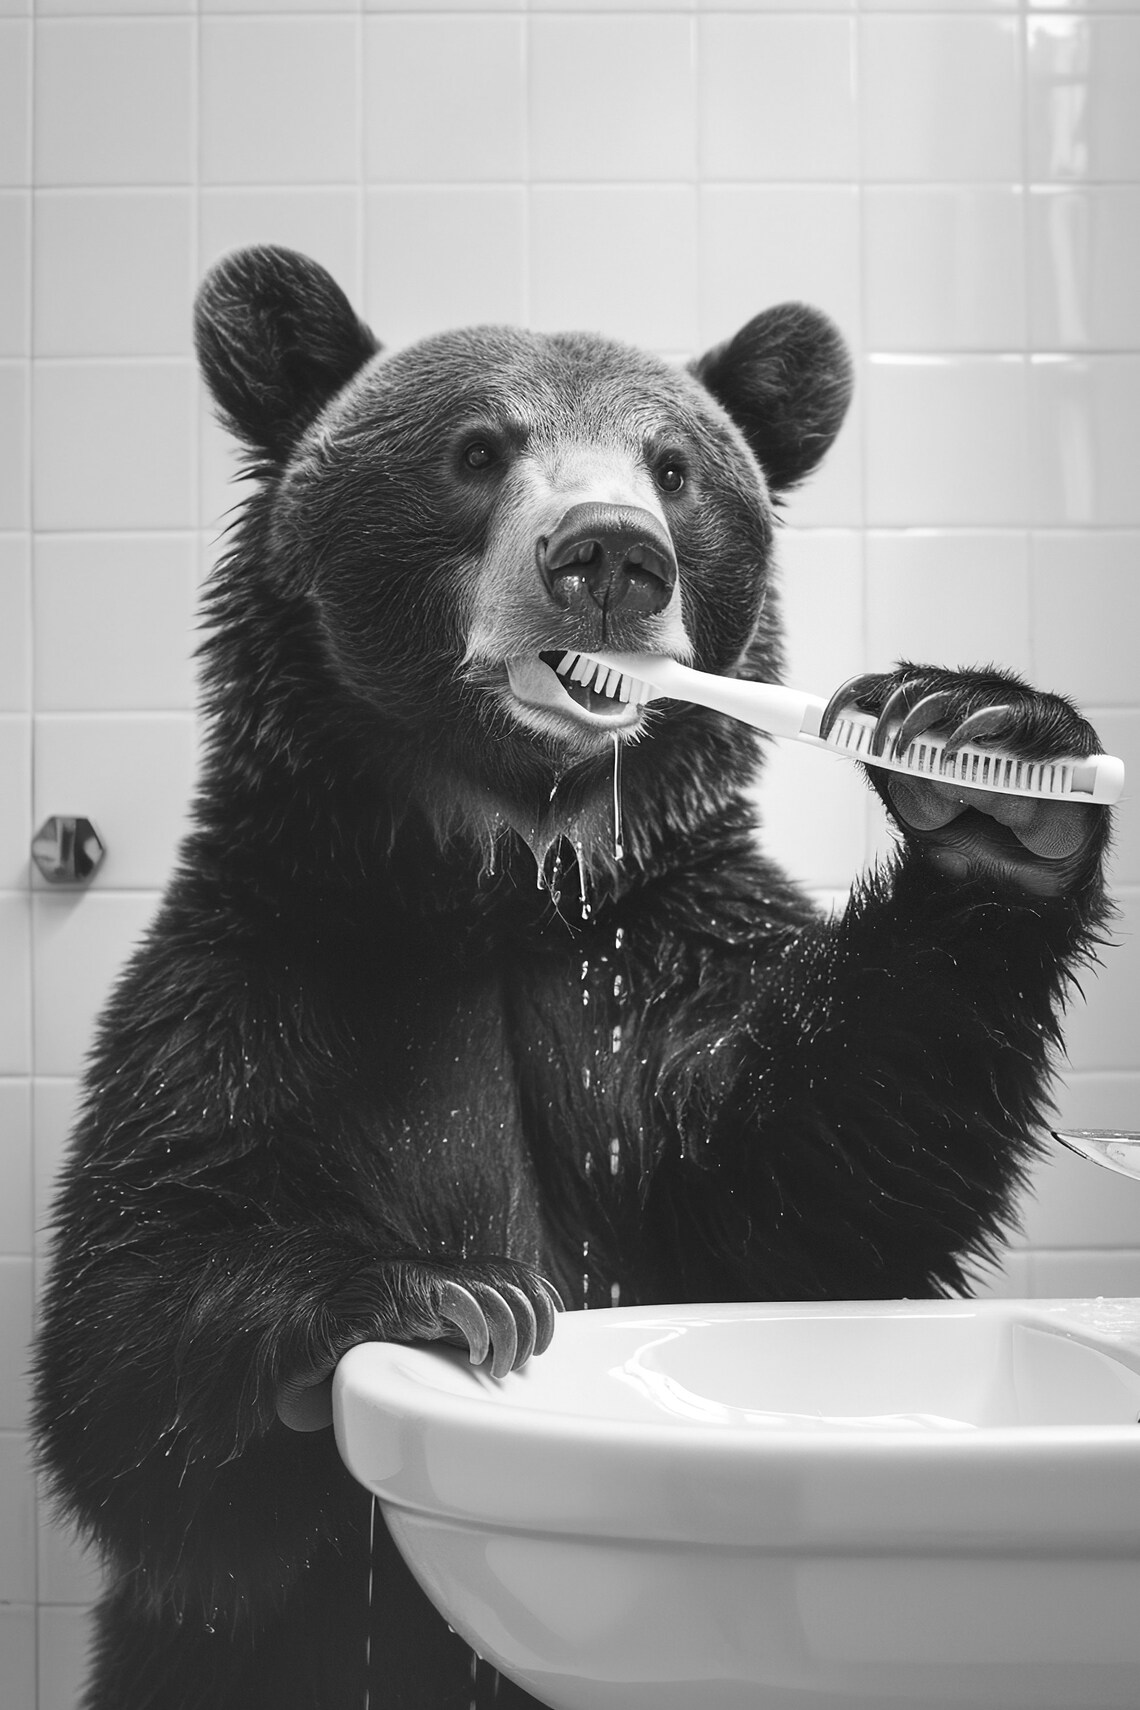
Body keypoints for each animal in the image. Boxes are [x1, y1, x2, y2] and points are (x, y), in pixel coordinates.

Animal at [33, 244, 1111, 1710]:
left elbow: (822, 1178)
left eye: (674, 465)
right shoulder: (267, 980)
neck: (504, 880)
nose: (608, 554)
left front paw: (990, 762)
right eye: (478, 449)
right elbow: (131, 1337)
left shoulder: (658, 977)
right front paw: (450, 1290)